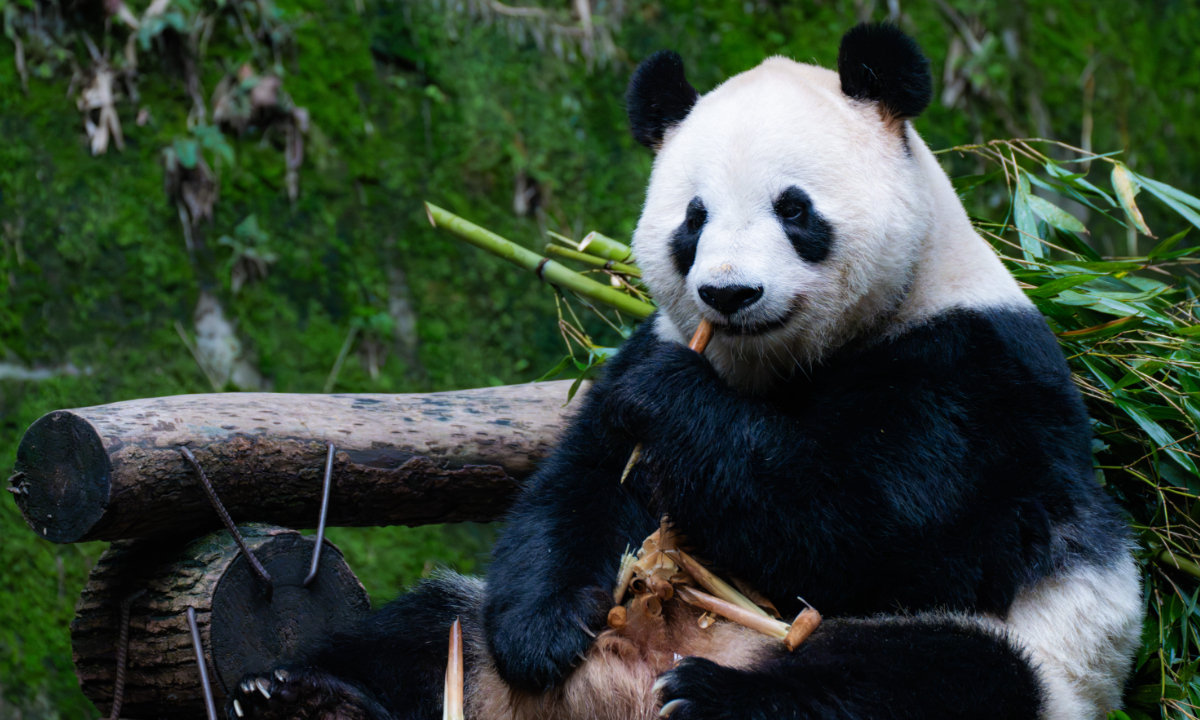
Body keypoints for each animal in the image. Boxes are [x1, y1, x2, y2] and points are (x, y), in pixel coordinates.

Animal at [231, 22, 1142, 720]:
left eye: (794, 209)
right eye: (693, 219)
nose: (728, 293)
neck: (783, 362)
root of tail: (620, 690)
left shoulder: (972, 375)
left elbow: (874, 526)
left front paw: (676, 407)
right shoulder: (657, 338)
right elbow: (580, 487)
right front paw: (544, 630)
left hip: (1033, 660)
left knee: (931, 678)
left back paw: (707, 696)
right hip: (468, 647)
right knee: (427, 631)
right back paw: (303, 696)